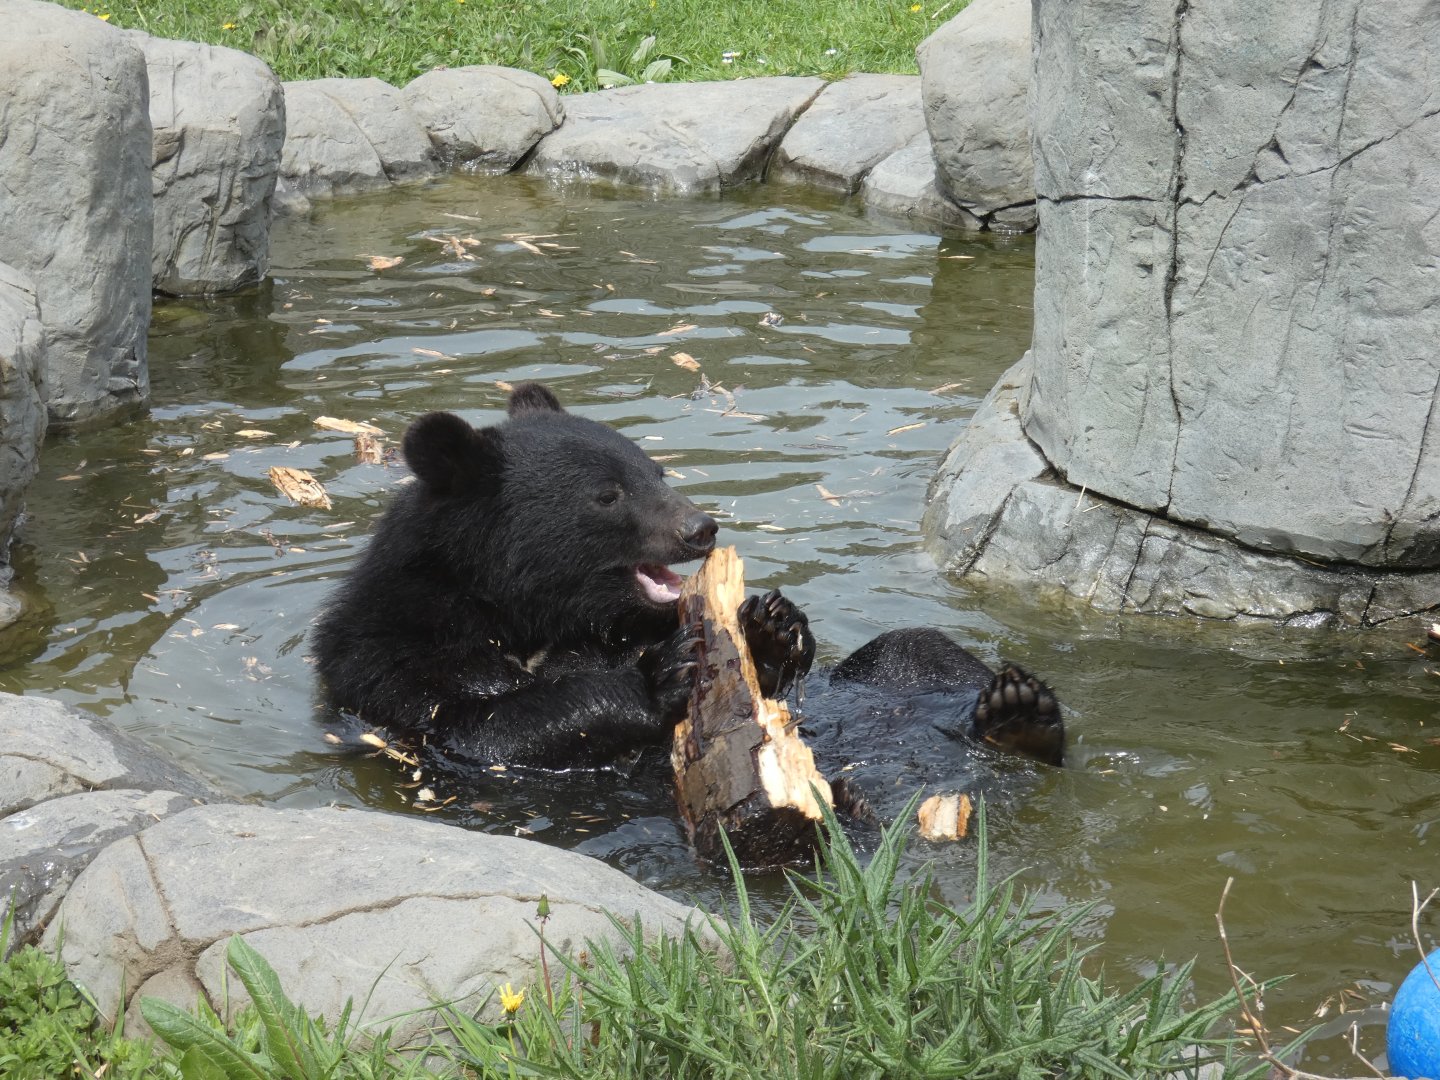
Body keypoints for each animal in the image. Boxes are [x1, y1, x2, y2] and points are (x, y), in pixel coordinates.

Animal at [312, 382, 1064, 787]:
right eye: (608, 495)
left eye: (656, 471)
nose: (700, 527)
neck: (524, 613)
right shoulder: (397, 658)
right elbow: (487, 730)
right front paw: (659, 677)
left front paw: (770, 625)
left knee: (915, 649)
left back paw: (1017, 712)